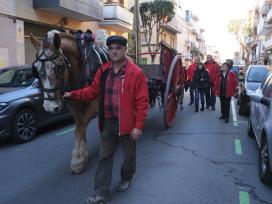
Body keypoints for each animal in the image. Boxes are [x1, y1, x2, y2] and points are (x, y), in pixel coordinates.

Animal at [31, 30, 108, 174]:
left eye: (60, 68)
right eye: (36, 70)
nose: (50, 106)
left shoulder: (93, 106)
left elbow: (80, 128)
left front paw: (77, 159)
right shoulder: (74, 106)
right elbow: (80, 128)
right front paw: (83, 155)